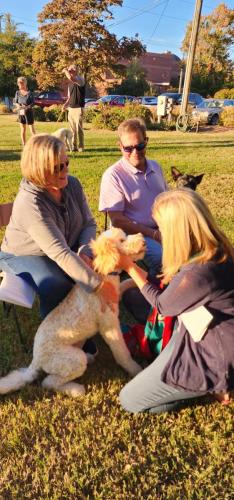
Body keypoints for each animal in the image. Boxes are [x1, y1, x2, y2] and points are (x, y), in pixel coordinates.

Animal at [0, 229, 146, 396]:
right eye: (121, 241)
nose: (143, 241)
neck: (103, 275)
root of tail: (35, 359)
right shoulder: (109, 326)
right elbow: (122, 353)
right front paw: (136, 370)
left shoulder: (115, 294)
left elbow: (126, 282)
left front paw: (142, 279)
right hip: (73, 360)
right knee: (48, 382)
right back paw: (76, 389)